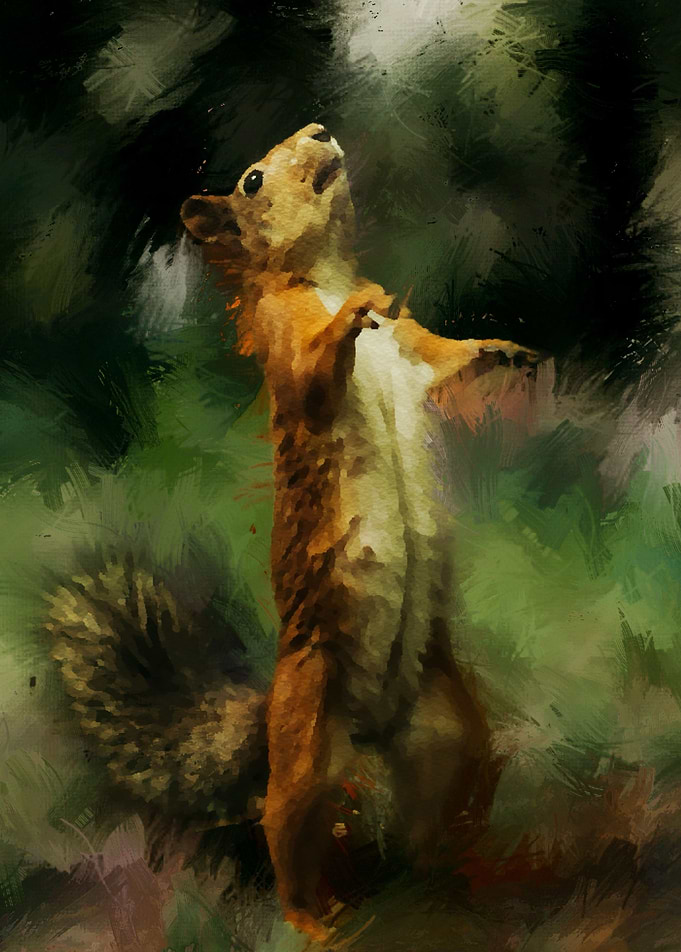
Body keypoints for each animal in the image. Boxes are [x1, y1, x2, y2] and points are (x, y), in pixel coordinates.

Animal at [178, 123, 543, 941]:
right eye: (251, 181)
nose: (318, 130)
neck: (325, 273)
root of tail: (373, 735)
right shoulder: (286, 341)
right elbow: (313, 379)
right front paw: (356, 312)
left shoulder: (414, 349)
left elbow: (449, 359)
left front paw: (504, 350)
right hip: (303, 727)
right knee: (285, 830)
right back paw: (315, 922)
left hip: (451, 730)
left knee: (435, 823)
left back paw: (467, 871)